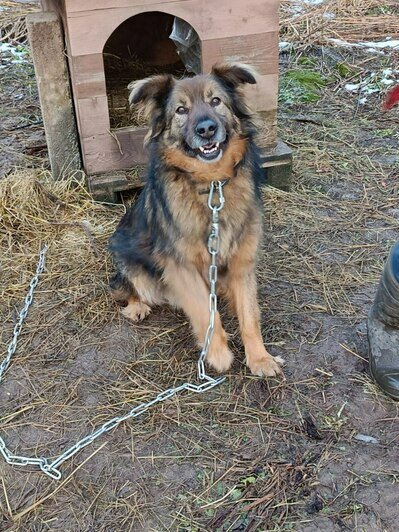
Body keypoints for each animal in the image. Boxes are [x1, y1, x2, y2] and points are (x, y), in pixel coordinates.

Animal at [109, 62, 284, 376]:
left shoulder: (242, 260)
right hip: (128, 257)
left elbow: (250, 314)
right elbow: (205, 310)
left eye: (216, 101)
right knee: (126, 286)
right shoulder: (182, 265)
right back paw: (137, 306)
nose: (206, 129)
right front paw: (218, 353)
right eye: (181, 110)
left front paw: (260, 358)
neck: (212, 184)